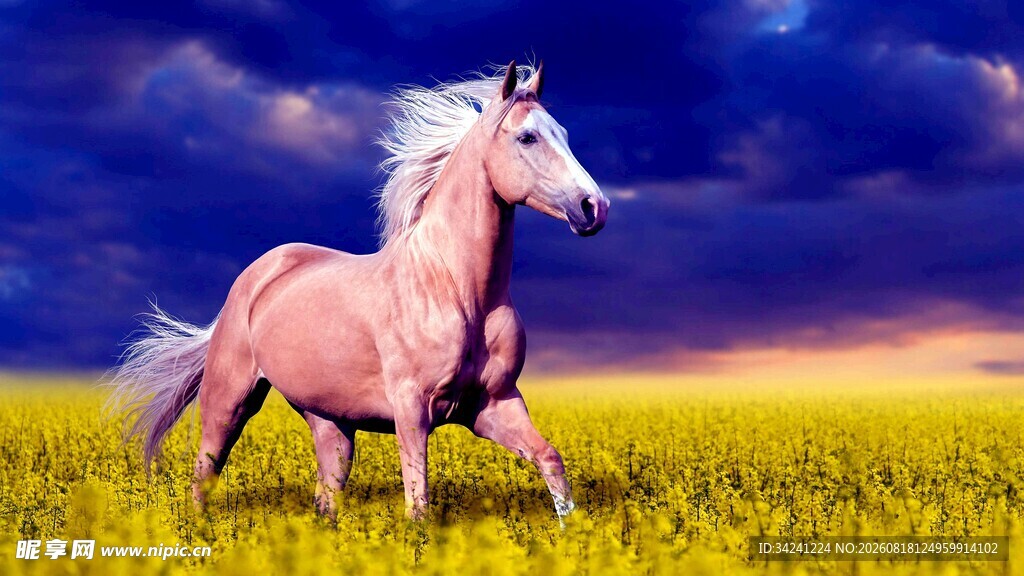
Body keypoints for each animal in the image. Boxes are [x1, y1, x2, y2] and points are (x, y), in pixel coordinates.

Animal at [108, 60, 610, 521]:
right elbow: (418, 504)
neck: (458, 292)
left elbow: (550, 460)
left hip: (331, 423)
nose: (594, 207)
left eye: (564, 133)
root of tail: (254, 278)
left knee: (326, 496)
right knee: (204, 474)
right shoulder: (412, 409)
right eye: (527, 138)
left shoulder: (493, 405)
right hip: (228, 400)